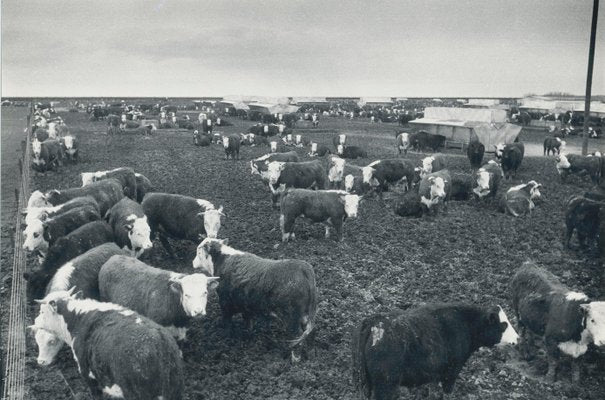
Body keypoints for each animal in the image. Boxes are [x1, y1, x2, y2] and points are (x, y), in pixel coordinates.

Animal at [352, 302, 516, 398]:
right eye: (504, 324)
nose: (517, 338)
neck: (465, 323)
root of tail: (374, 321)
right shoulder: (451, 372)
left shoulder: (435, 374)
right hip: (385, 385)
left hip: (364, 383)